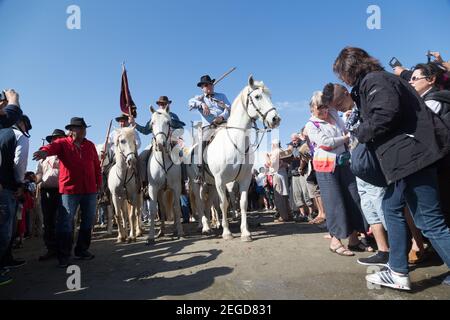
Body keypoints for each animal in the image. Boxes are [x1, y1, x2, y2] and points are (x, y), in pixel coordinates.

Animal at [199, 76, 280, 241]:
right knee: (200, 203)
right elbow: (224, 204)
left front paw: (245, 232)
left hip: (210, 184)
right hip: (198, 183)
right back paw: (205, 227)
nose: (275, 119)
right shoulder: (220, 180)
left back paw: (212, 225)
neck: (236, 142)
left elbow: (242, 203)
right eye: (257, 96)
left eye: (270, 96)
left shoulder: (244, 179)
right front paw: (227, 232)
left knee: (209, 203)